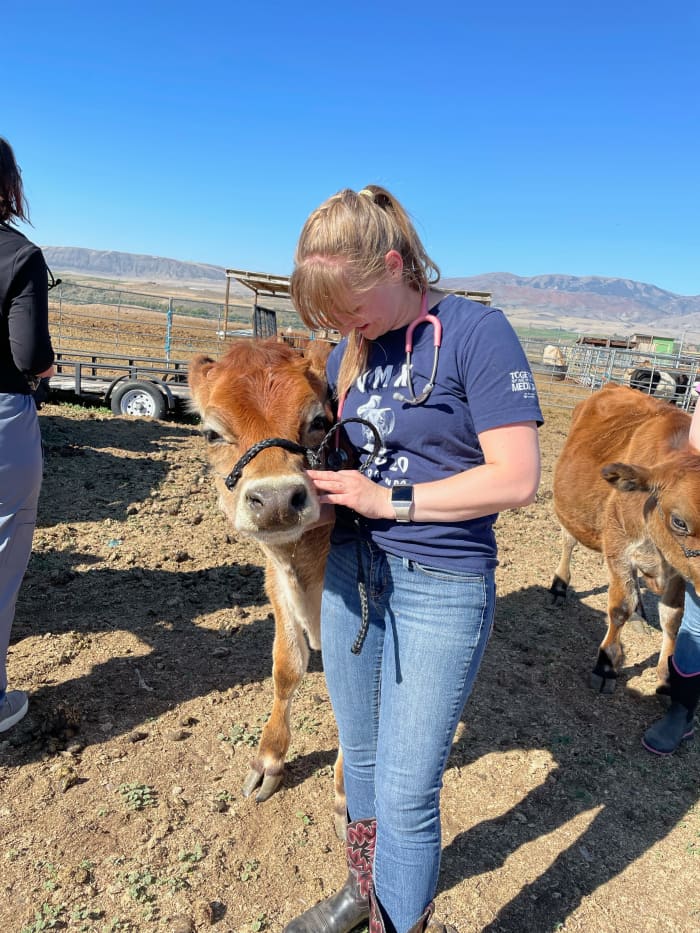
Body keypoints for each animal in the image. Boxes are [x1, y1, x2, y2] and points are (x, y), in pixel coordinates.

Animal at [190, 338, 346, 832]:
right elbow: (286, 669)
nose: (276, 499)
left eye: (319, 422)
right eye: (212, 433)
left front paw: (346, 794)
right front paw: (269, 760)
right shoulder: (276, 585)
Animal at [548, 382, 700, 696]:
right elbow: (620, 608)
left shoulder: (679, 570)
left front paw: (667, 675)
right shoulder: (619, 551)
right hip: (570, 512)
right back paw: (559, 586)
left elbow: (673, 618)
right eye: (679, 522)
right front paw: (606, 665)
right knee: (568, 543)